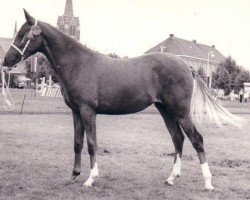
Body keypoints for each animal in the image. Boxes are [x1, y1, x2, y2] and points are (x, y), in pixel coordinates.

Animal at [1, 9, 241, 191]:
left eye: (24, 34)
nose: (6, 60)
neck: (78, 63)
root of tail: (186, 65)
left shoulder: (88, 111)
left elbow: (92, 144)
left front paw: (90, 179)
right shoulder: (76, 111)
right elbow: (77, 143)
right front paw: (73, 175)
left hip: (180, 111)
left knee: (196, 139)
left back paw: (208, 183)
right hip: (165, 110)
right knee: (178, 139)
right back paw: (172, 178)